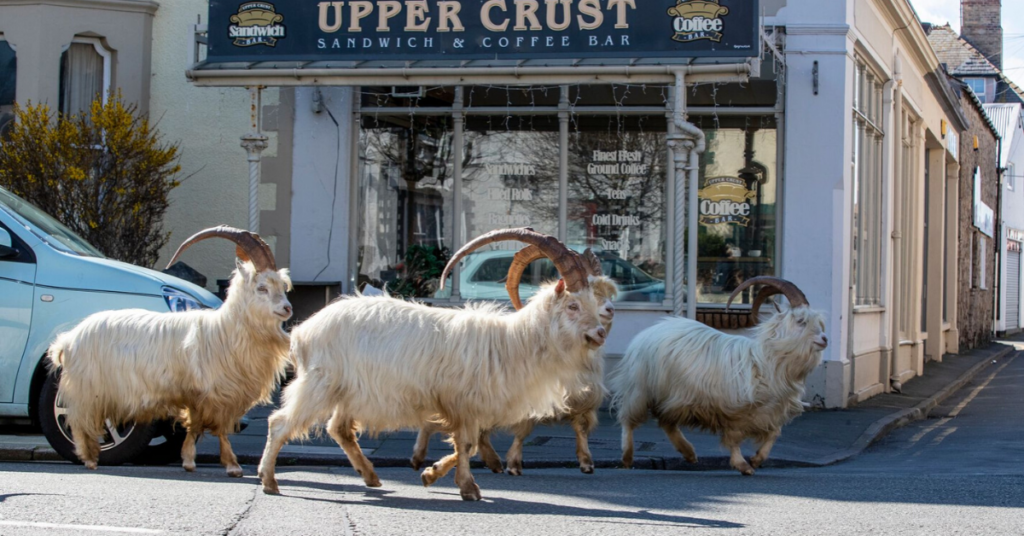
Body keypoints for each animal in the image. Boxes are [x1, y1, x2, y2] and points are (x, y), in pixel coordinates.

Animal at [49, 227, 294, 477]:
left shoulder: (203, 395)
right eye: (262, 287)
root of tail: (70, 339)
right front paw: (232, 466)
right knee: (80, 421)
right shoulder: (213, 394)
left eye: (283, 287)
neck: (225, 330)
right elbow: (218, 429)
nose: (287, 309)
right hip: (88, 388)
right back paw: (89, 459)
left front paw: (188, 461)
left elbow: (196, 425)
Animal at [409, 253, 618, 477]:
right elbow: (519, 429)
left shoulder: (581, 398)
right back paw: (421, 456)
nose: (601, 330)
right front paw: (513, 464)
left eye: (605, 294)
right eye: (573, 305)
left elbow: (580, 426)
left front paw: (587, 462)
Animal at [610, 278, 827, 475]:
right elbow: (734, 438)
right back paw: (627, 457)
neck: (766, 360)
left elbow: (773, 434)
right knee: (628, 419)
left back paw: (689, 453)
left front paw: (757, 459)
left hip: (672, 397)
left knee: (666, 422)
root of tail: (649, 331)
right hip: (640, 388)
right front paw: (743, 465)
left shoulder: (771, 411)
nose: (824, 339)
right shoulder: (736, 411)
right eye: (801, 321)